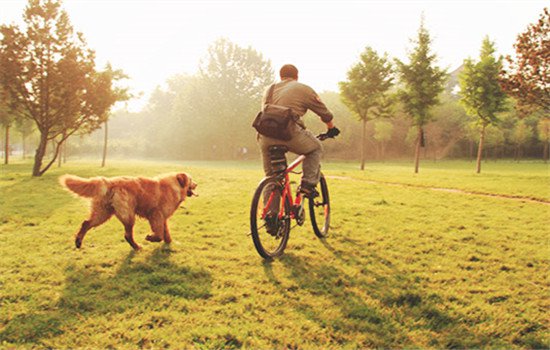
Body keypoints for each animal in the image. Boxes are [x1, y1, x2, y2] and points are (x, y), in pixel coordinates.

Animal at [59, 172, 198, 249]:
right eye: (191, 180)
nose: (197, 184)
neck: (173, 186)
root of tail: (110, 181)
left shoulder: (162, 218)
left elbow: (165, 233)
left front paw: (169, 242)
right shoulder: (155, 215)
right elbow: (159, 234)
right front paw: (151, 238)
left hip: (102, 214)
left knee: (86, 223)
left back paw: (78, 242)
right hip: (128, 215)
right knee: (127, 235)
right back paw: (137, 247)